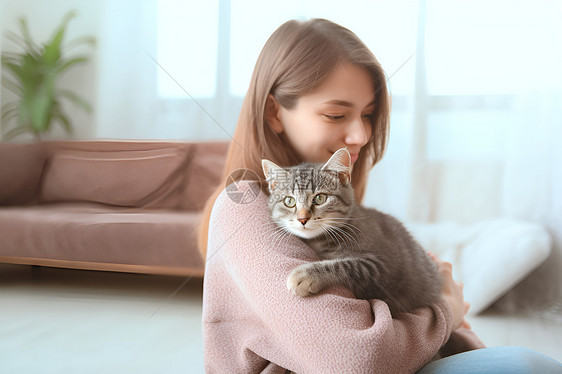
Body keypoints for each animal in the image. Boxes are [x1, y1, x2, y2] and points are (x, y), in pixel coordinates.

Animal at [260, 148, 440, 314]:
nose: (302, 219)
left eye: (320, 198)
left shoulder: (382, 267)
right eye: (289, 201)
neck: (320, 240)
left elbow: (346, 265)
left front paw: (306, 274)